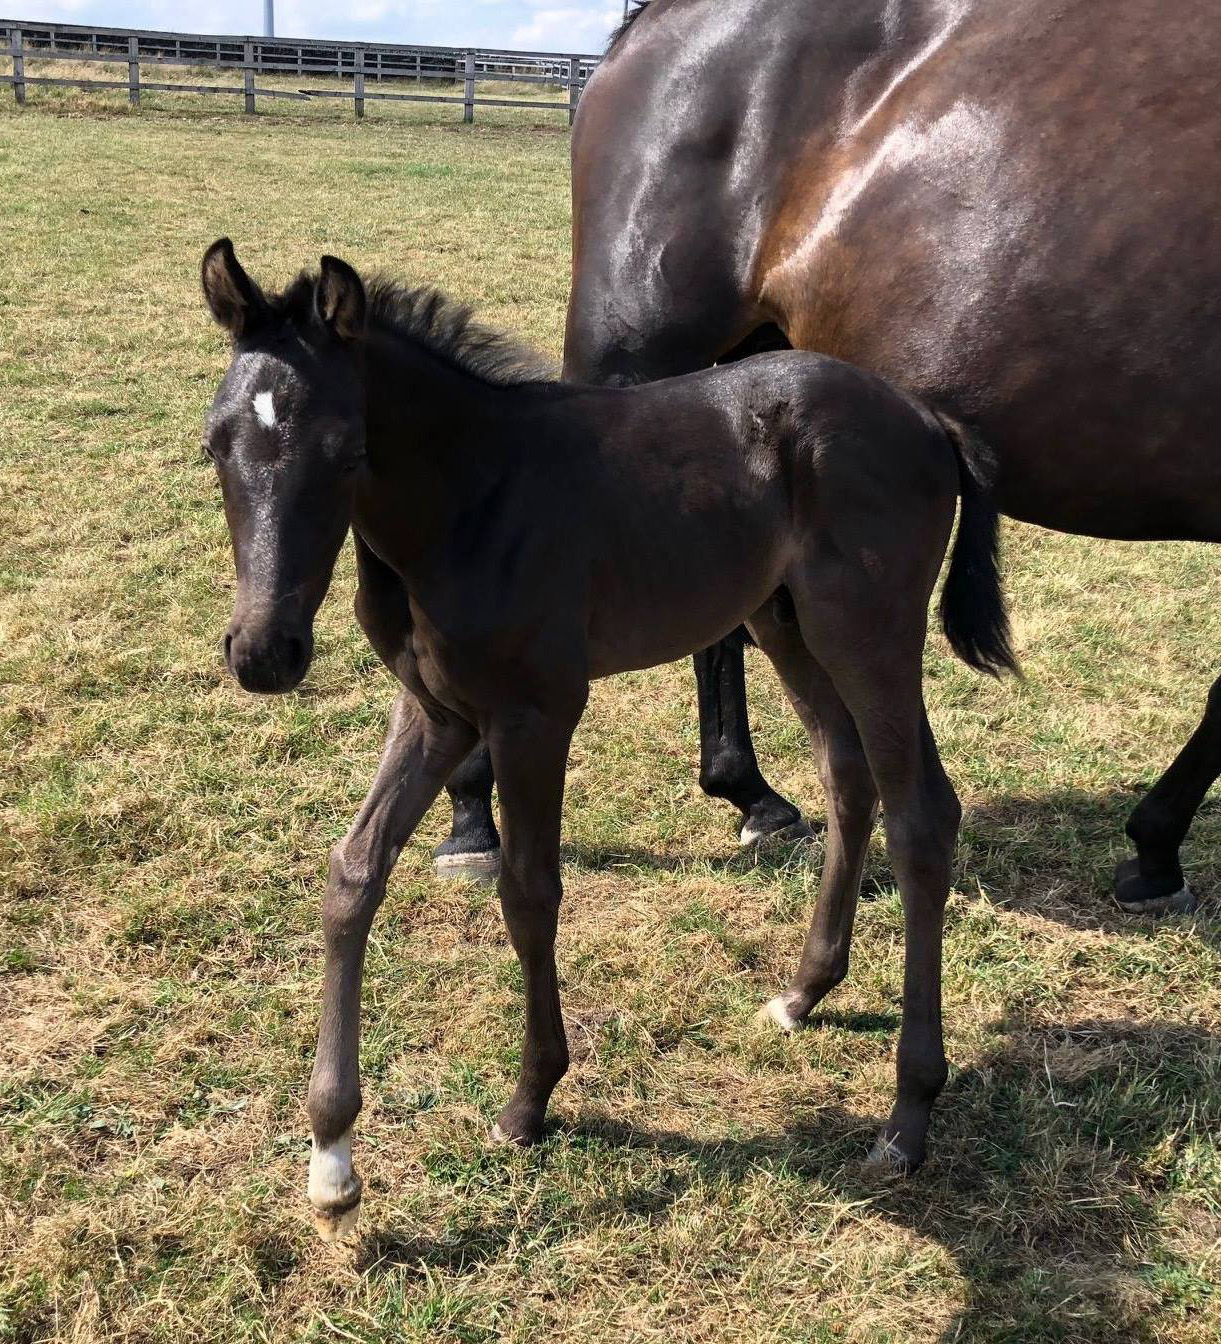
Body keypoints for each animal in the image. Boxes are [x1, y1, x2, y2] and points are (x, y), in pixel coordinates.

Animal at [441, 0, 1221, 913]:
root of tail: (649, 26)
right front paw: (1153, 847)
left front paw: (1154, 846)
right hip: (635, 358)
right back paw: (472, 818)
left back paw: (752, 796)